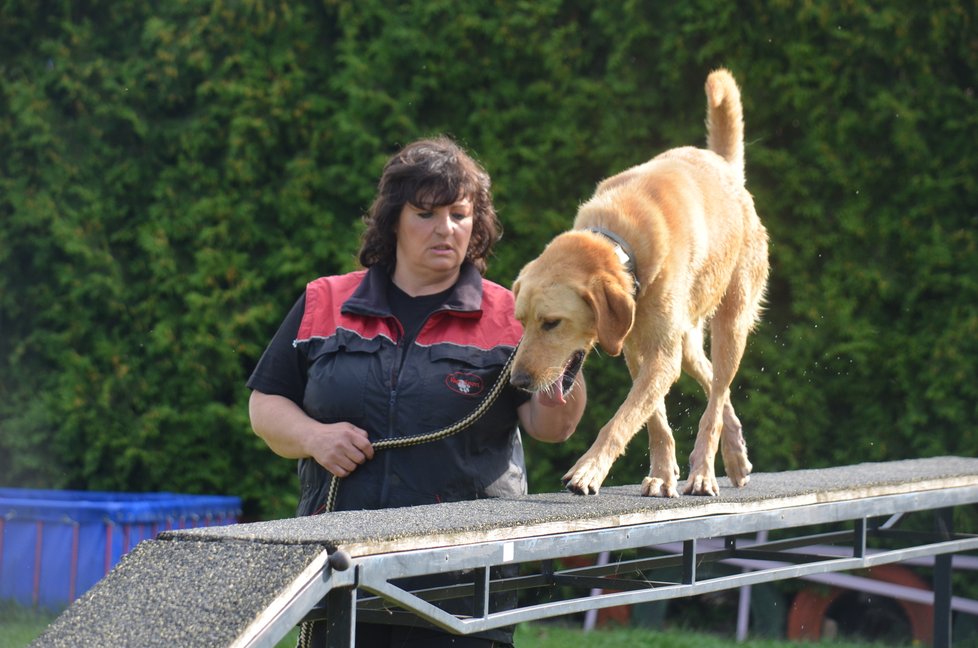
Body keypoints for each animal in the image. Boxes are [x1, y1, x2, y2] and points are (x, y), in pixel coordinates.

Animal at [508, 69, 768, 496]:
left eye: (552, 323)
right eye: (521, 322)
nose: (517, 382)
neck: (620, 244)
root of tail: (726, 169)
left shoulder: (661, 356)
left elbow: (623, 419)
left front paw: (589, 469)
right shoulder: (637, 349)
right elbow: (653, 419)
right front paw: (662, 474)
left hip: (731, 325)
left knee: (715, 399)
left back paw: (704, 471)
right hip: (688, 341)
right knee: (715, 382)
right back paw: (735, 456)